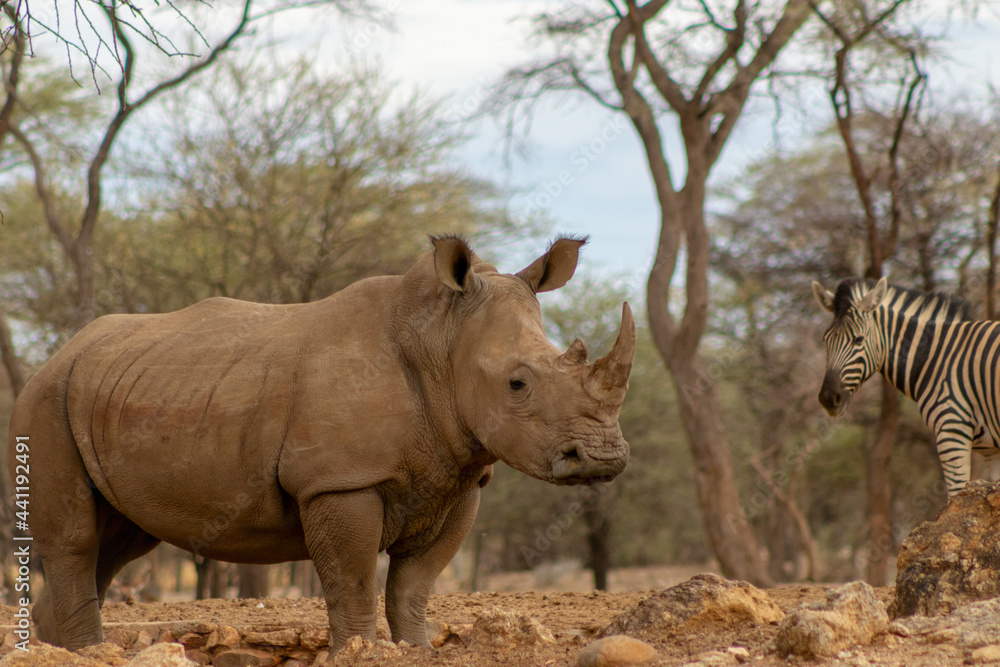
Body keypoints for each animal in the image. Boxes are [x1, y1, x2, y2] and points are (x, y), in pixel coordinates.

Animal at [10, 236, 635, 655]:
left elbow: (414, 585)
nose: (604, 458)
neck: (441, 340)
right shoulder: (339, 481)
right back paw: (89, 652)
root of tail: (58, 353)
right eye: (517, 384)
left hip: (114, 391)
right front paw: (360, 653)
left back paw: (59, 648)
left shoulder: (459, 477)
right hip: (45, 400)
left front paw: (416, 651)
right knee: (76, 536)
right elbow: (352, 580)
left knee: (122, 538)